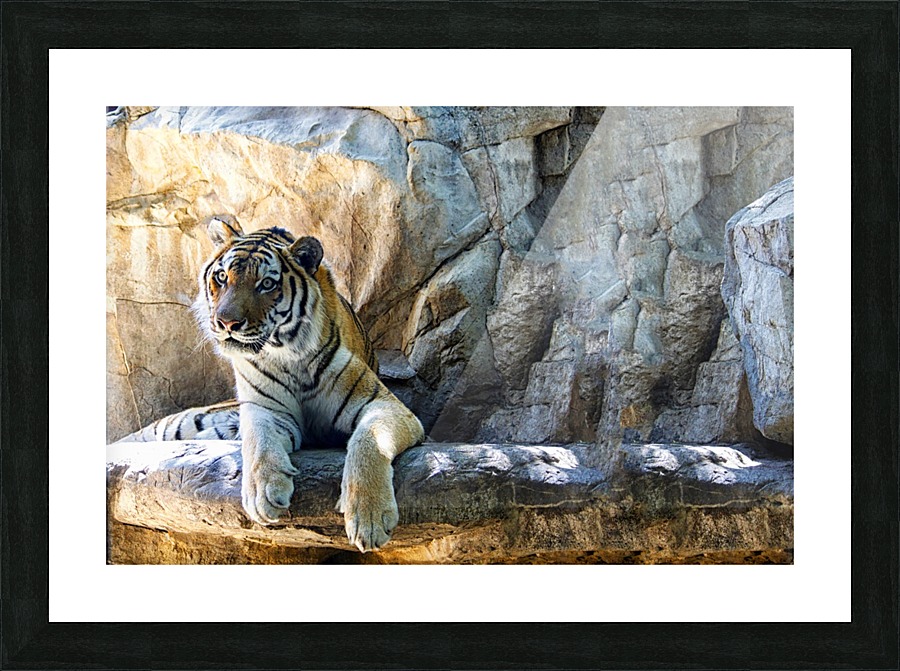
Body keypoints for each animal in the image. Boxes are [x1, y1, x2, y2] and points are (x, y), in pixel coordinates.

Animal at [118, 216, 425, 552]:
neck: (289, 355)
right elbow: (259, 442)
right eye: (222, 277)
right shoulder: (267, 410)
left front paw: (369, 518)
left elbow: (368, 441)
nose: (226, 323)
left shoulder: (384, 405)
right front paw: (263, 493)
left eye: (266, 284)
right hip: (175, 424)